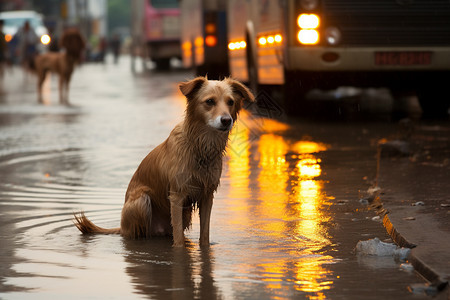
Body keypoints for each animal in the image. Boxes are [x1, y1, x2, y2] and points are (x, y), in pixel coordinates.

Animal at [75, 77, 255, 246]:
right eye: (210, 101)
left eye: (230, 102)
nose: (226, 120)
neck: (199, 147)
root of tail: (122, 228)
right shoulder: (177, 195)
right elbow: (179, 241)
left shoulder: (207, 195)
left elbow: (204, 235)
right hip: (141, 202)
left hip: (184, 215)